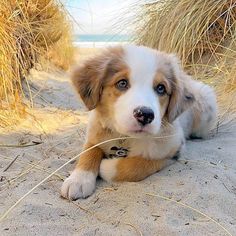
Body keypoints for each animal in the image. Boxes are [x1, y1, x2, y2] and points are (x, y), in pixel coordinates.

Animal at [61, 44, 218, 199]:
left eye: (161, 88)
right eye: (122, 83)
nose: (145, 115)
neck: (126, 138)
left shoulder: (172, 150)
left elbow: (136, 165)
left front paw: (106, 166)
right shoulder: (95, 133)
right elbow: (89, 151)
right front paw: (78, 180)